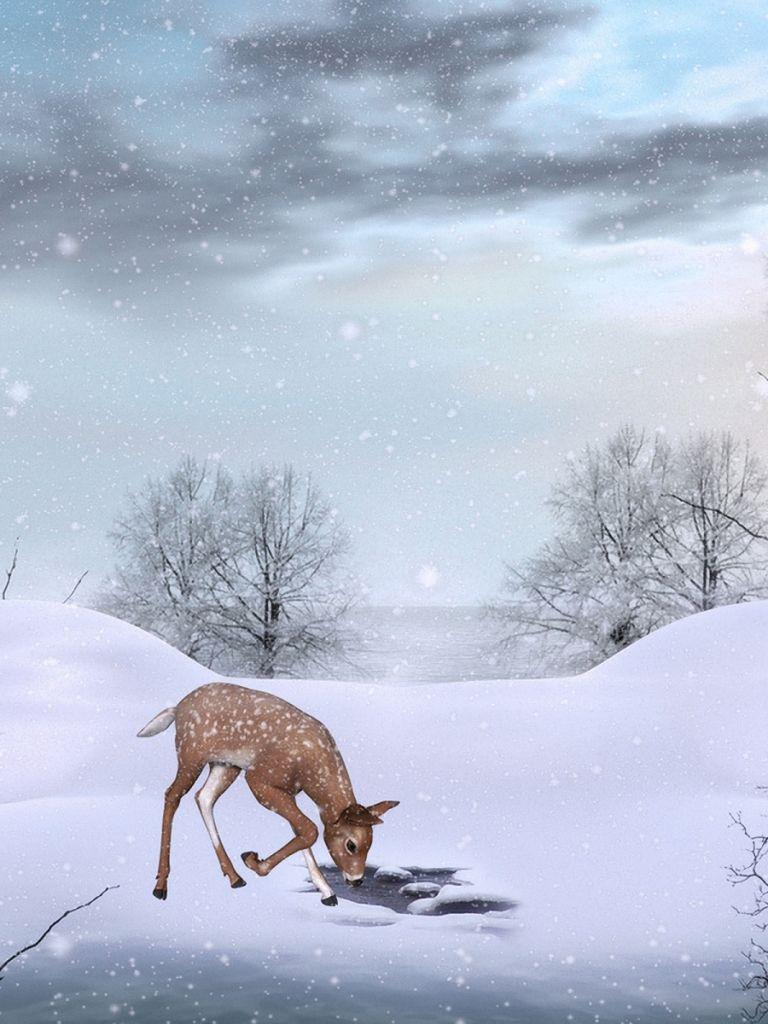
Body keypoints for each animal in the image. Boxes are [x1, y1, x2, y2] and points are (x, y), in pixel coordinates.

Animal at [137, 681, 398, 906]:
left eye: (371, 843)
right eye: (351, 845)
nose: (357, 880)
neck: (310, 770)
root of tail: (177, 708)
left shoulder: (288, 791)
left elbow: (302, 829)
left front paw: (327, 892)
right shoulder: (259, 779)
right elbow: (310, 829)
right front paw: (253, 860)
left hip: (226, 764)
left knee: (204, 797)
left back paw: (234, 877)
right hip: (191, 754)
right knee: (172, 795)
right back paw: (161, 886)